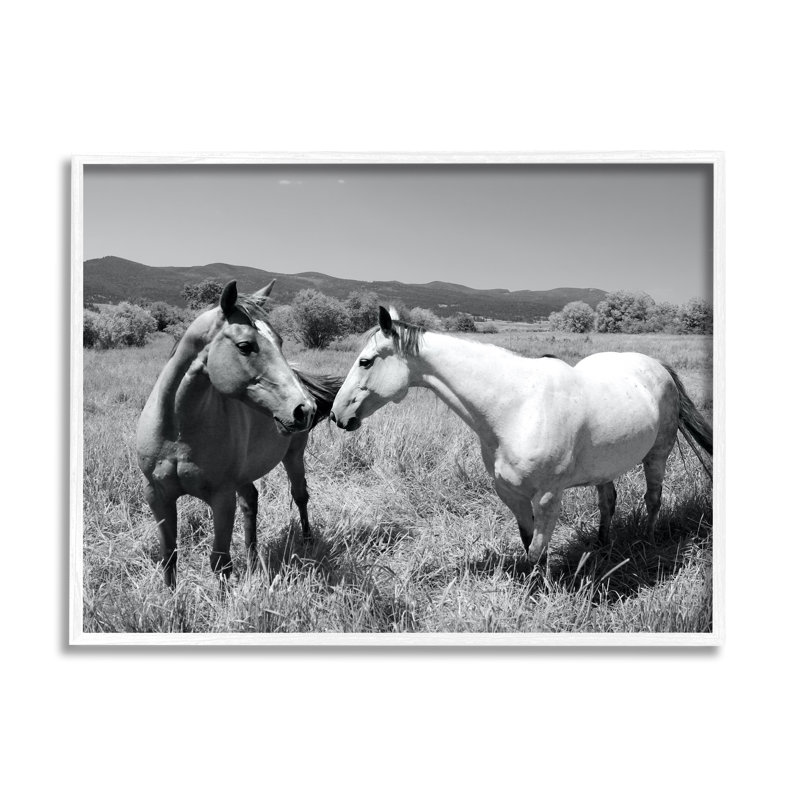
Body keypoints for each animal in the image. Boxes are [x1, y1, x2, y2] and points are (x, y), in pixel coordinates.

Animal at [136, 280, 343, 587]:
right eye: (245, 346)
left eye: (280, 341)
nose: (304, 408)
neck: (177, 434)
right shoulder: (157, 495)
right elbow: (169, 556)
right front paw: (170, 599)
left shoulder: (222, 498)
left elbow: (220, 562)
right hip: (244, 475)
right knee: (251, 502)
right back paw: (253, 558)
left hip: (293, 456)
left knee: (300, 495)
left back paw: (307, 541)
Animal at [330, 307, 712, 565]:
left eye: (366, 361)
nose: (337, 415)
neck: (516, 406)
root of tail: (657, 366)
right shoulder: (510, 493)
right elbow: (528, 542)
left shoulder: (547, 497)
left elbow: (537, 552)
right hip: (606, 464)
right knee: (609, 501)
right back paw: (602, 545)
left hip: (657, 455)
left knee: (653, 499)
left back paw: (647, 542)